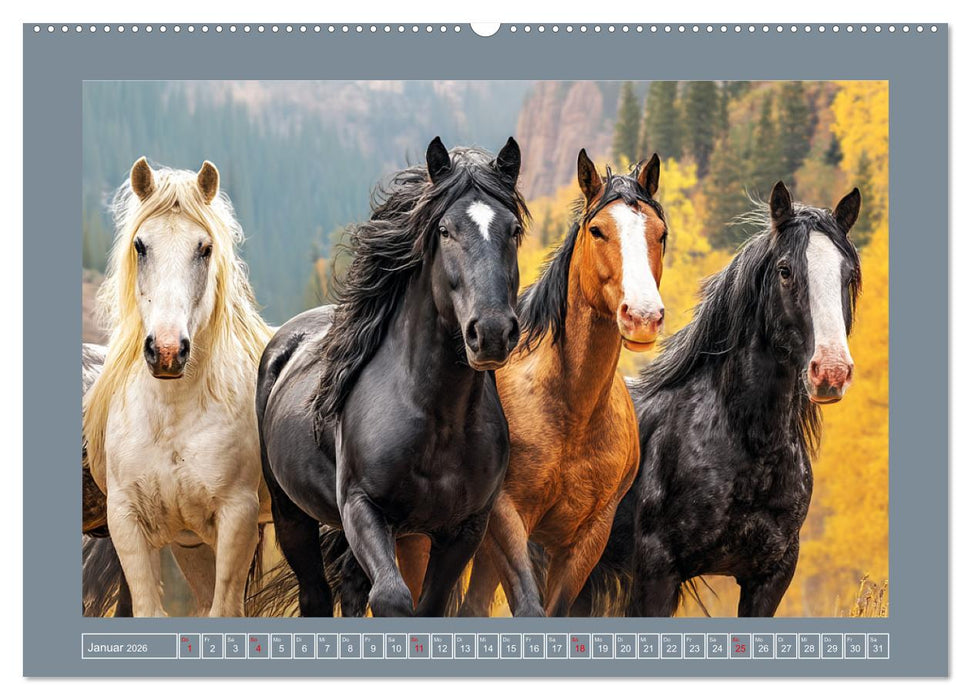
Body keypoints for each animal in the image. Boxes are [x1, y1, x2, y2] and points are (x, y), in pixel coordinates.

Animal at [82, 158, 273, 617]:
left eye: (204, 248)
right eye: (140, 246)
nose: (167, 351)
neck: (172, 416)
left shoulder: (238, 518)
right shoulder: (127, 521)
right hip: (191, 545)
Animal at [254, 137, 527, 617]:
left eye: (513, 230)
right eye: (445, 230)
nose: (492, 332)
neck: (437, 417)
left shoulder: (463, 531)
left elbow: (429, 604)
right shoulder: (363, 509)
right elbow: (391, 598)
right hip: (291, 515)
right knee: (316, 593)